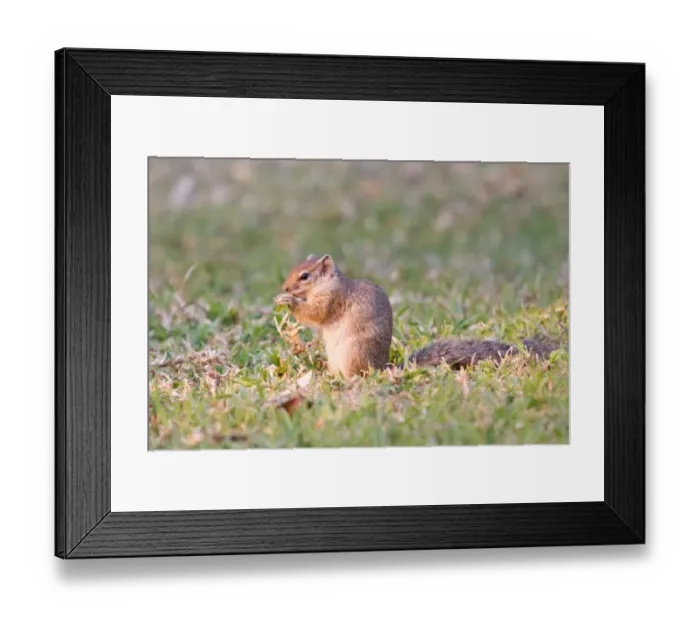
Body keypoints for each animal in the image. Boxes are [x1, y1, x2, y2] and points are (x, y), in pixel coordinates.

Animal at [273, 254, 560, 378]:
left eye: (304, 276)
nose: (284, 288)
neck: (328, 283)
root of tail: (381, 368)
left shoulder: (332, 299)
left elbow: (316, 313)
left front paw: (289, 302)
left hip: (353, 353)